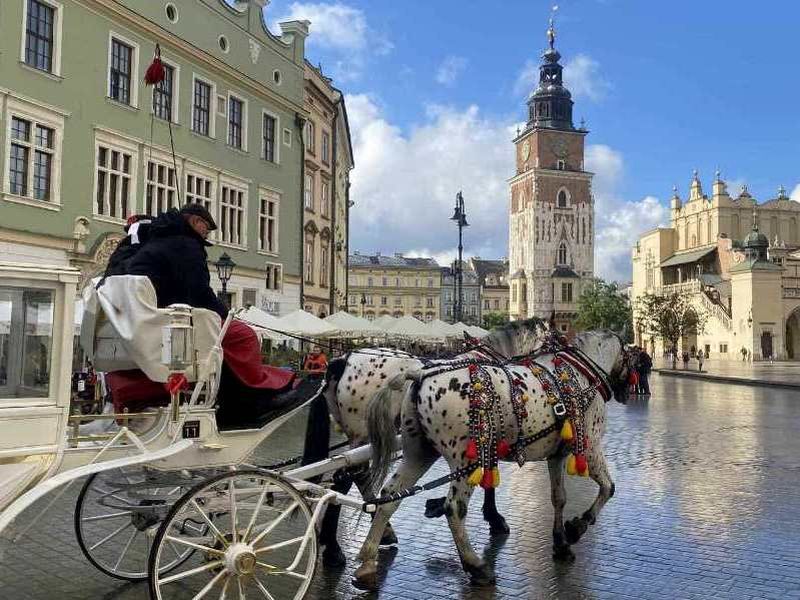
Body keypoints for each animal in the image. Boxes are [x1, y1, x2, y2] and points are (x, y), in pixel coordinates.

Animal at [301, 318, 549, 566]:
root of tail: (343, 360)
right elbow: (488, 481)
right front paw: (495, 519)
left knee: (350, 478)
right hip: (365, 435)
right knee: (348, 479)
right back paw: (336, 548)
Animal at [352, 330, 633, 589]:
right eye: (632, 358)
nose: (626, 394)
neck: (579, 374)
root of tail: (419, 375)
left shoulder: (556, 455)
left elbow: (559, 498)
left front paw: (561, 542)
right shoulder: (590, 447)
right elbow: (608, 488)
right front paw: (577, 527)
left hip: (418, 452)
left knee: (390, 497)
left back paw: (367, 562)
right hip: (464, 460)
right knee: (454, 508)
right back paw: (476, 566)